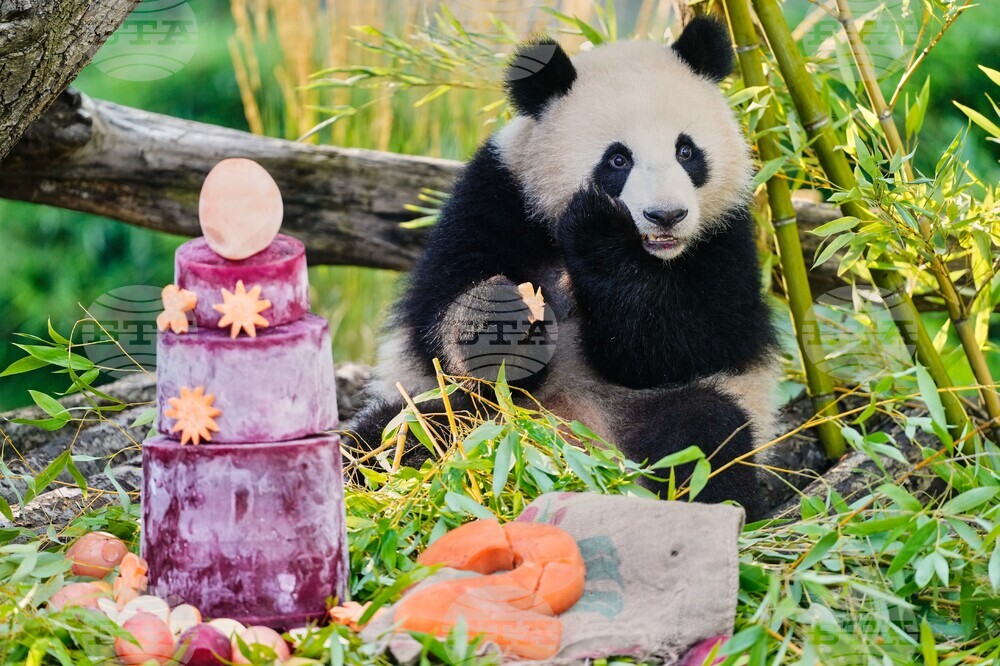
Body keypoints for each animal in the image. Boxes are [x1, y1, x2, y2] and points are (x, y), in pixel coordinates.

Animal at [348, 17, 779, 520]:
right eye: (618, 159)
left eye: (686, 152)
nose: (666, 216)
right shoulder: (496, 196)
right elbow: (438, 324)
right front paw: (504, 319)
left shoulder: (727, 236)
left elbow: (686, 344)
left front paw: (600, 232)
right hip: (476, 417)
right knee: (401, 431)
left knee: (704, 432)